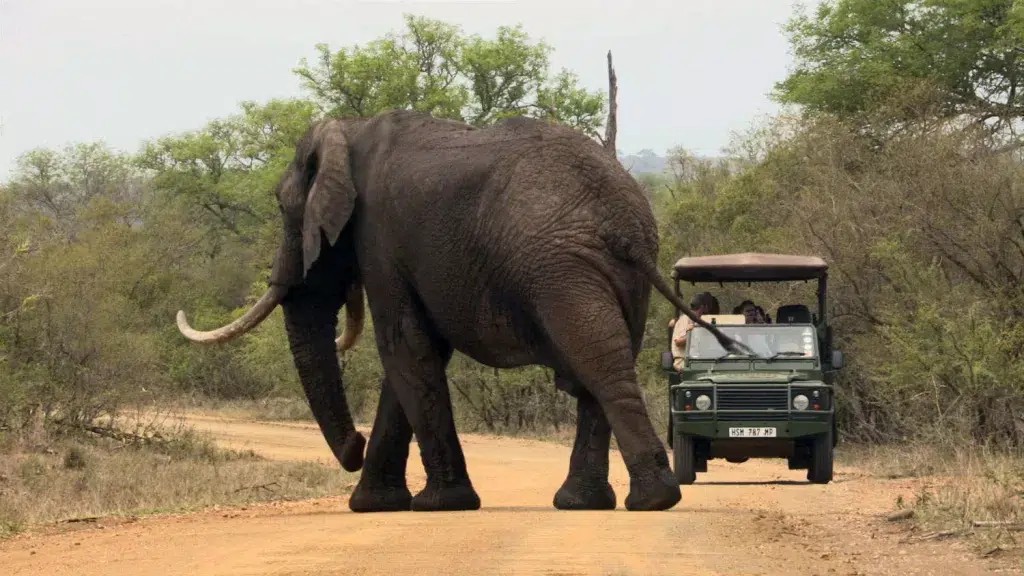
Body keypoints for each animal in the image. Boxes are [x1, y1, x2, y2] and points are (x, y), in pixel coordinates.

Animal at [172, 108, 741, 510]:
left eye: (282, 207)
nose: (352, 447)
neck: (349, 132)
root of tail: (625, 220)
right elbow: (414, 358)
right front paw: (372, 506)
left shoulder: (381, 236)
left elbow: (404, 348)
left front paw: (437, 504)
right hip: (615, 273)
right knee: (602, 364)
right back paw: (588, 504)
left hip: (559, 268)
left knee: (597, 364)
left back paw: (650, 501)